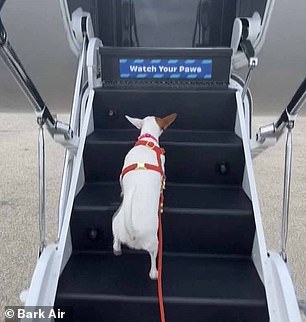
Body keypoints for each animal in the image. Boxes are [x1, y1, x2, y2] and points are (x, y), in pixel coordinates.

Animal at [113, 114, 177, 280]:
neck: (148, 141)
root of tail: (131, 231)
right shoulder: (163, 169)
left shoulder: (121, 175)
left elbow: (122, 184)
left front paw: (122, 192)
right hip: (154, 242)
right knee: (153, 258)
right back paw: (155, 273)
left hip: (115, 224)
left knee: (115, 241)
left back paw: (117, 249)